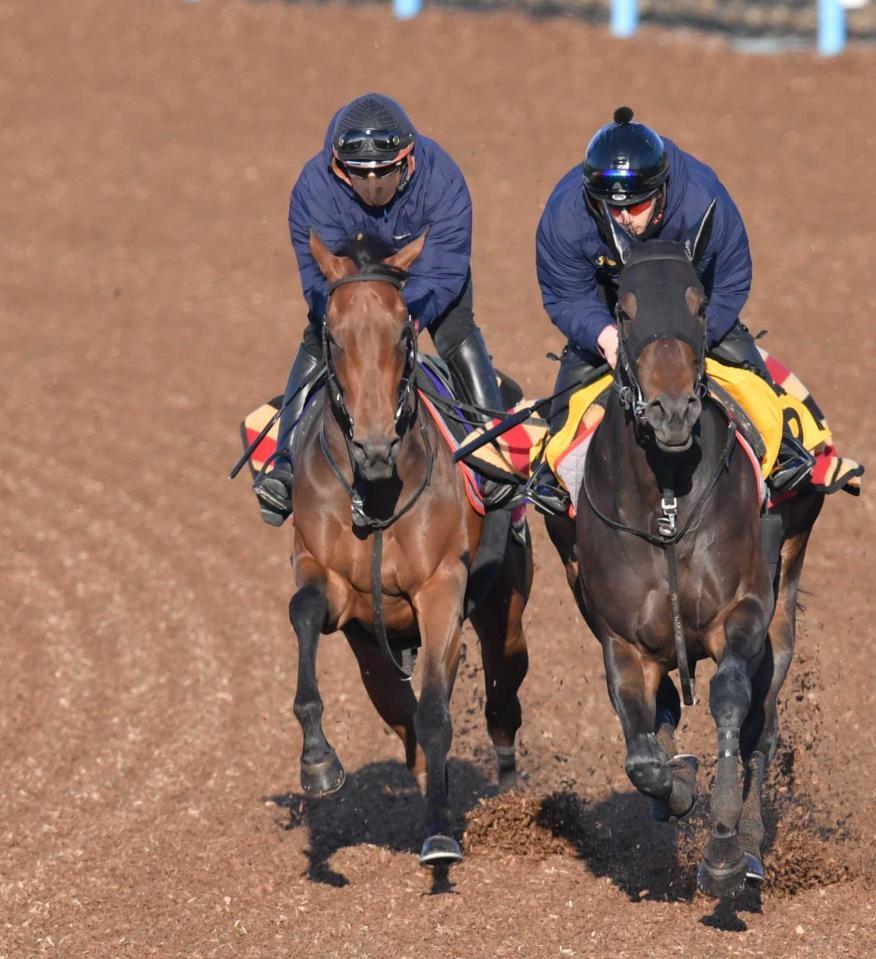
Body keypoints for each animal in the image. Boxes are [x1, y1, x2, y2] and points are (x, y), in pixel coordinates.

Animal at [290, 229, 532, 868]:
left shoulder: (442, 588)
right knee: (397, 708)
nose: (374, 446)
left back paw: (508, 797)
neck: (376, 494)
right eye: (332, 334)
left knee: (501, 697)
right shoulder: (330, 582)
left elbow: (435, 712)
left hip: (504, 608)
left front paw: (441, 834)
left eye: (403, 330)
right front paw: (317, 762)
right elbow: (304, 613)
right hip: (372, 650)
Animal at [544, 212, 824, 900]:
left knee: (761, 727)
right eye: (625, 307)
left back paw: (750, 843)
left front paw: (724, 848)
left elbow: (731, 702)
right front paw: (678, 784)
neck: (667, 501)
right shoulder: (621, 641)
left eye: (698, 304)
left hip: (786, 593)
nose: (672, 410)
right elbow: (643, 756)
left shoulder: (742, 614)